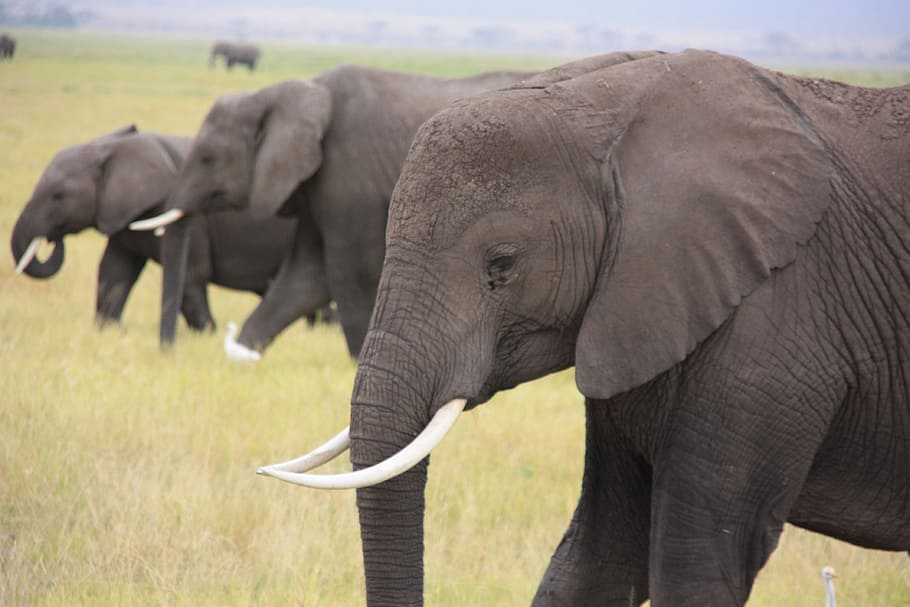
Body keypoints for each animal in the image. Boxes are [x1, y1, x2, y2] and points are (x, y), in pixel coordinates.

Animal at [10, 125, 316, 335]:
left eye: (58, 196)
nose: (52, 239)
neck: (114, 148)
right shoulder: (120, 216)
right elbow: (114, 272)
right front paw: (108, 331)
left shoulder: (190, 218)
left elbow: (191, 275)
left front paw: (208, 335)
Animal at [133, 64, 537, 359]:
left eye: (207, 158)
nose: (168, 352)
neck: (294, 91)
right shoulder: (318, 185)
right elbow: (306, 276)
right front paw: (243, 353)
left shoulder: (348, 178)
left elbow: (349, 273)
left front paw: (356, 361)